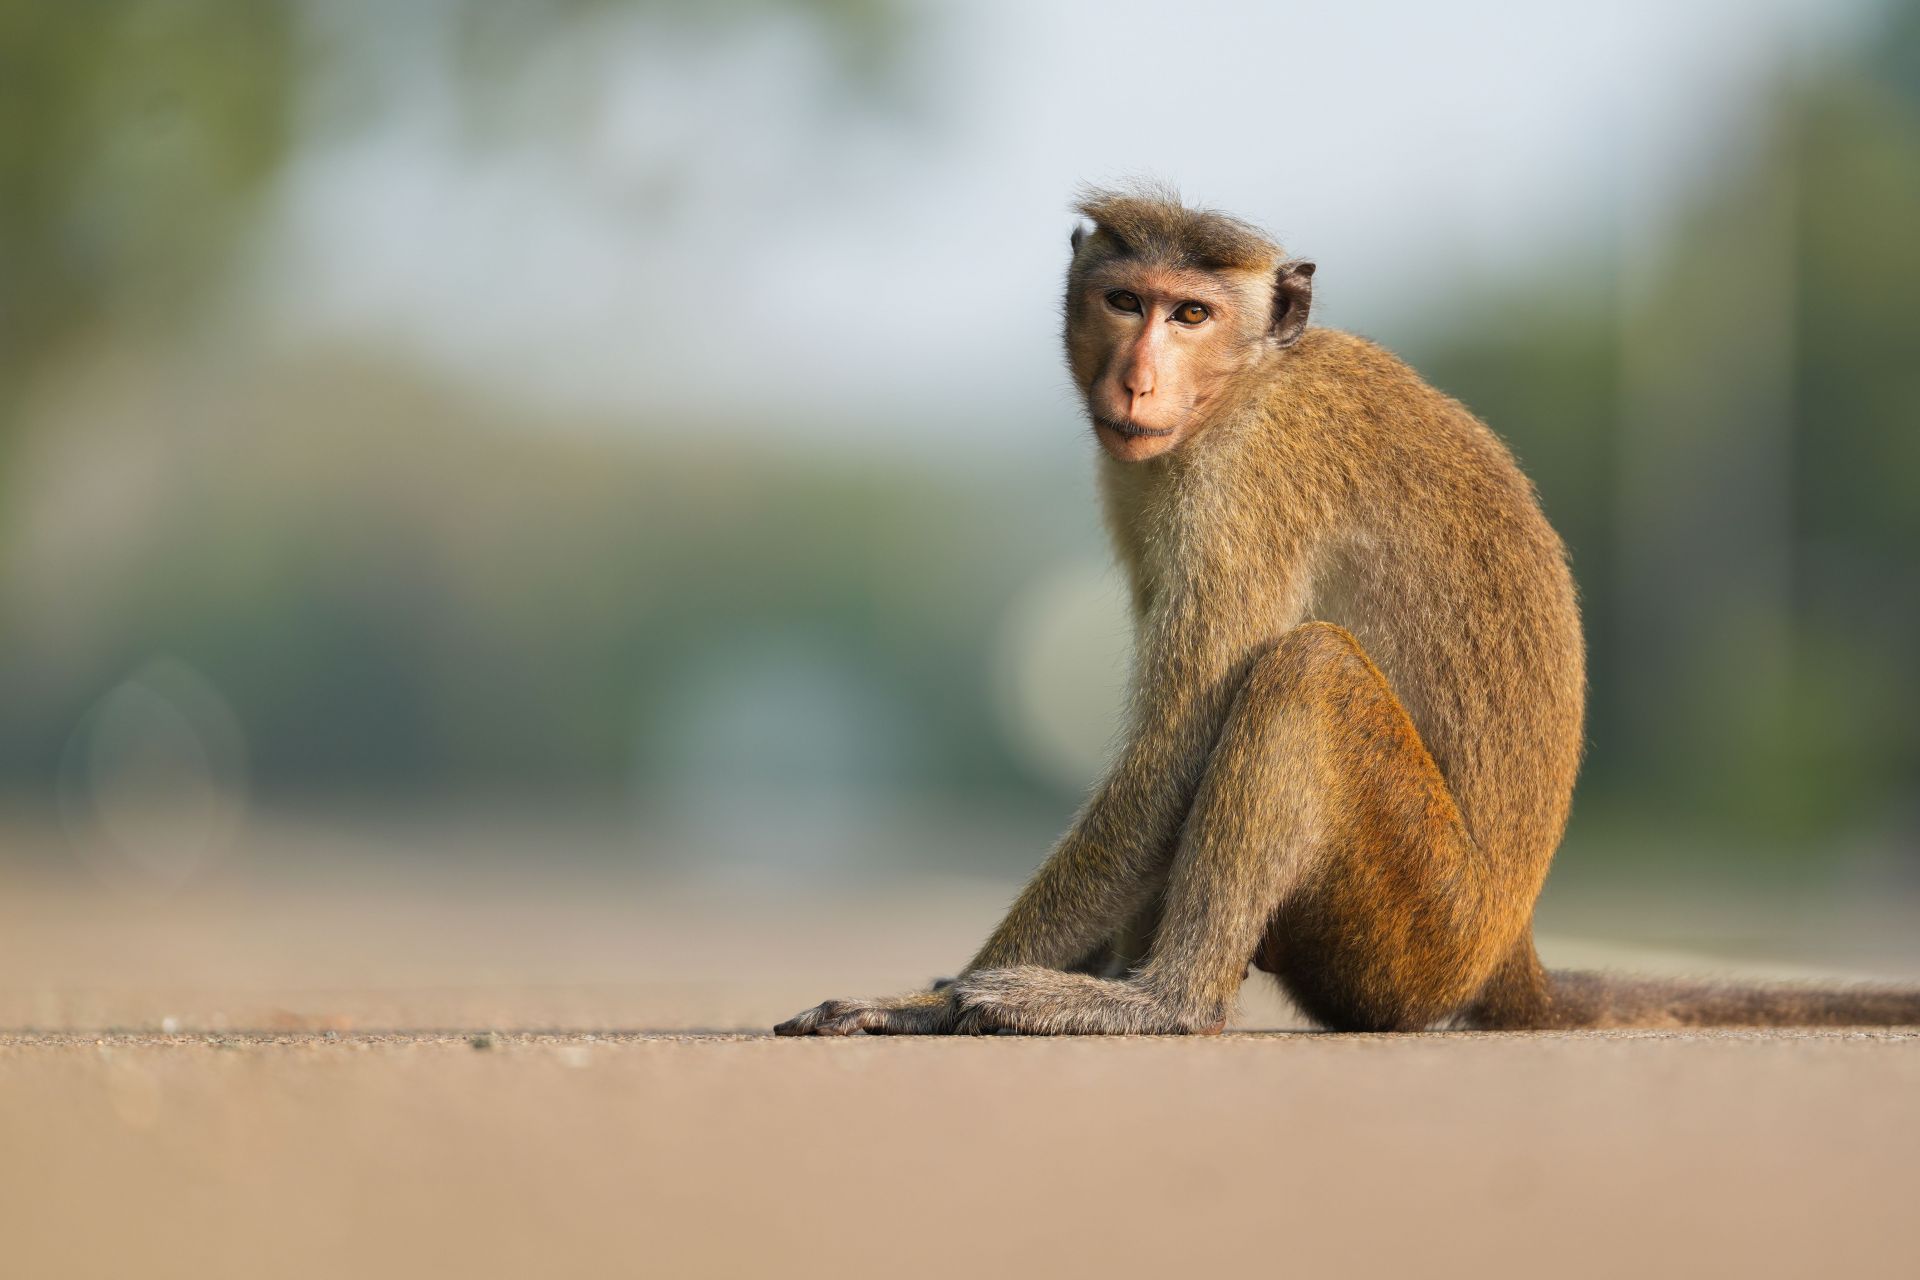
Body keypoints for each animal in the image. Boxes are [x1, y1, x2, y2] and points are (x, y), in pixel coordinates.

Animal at [771, 182, 1912, 1043]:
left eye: (1191, 315)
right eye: (1125, 298)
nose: (1137, 380)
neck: (1242, 385)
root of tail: (1507, 952)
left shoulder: (1240, 485)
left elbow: (1173, 754)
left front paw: (924, 1001)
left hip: (1418, 927)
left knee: (1303, 672)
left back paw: (1165, 1002)